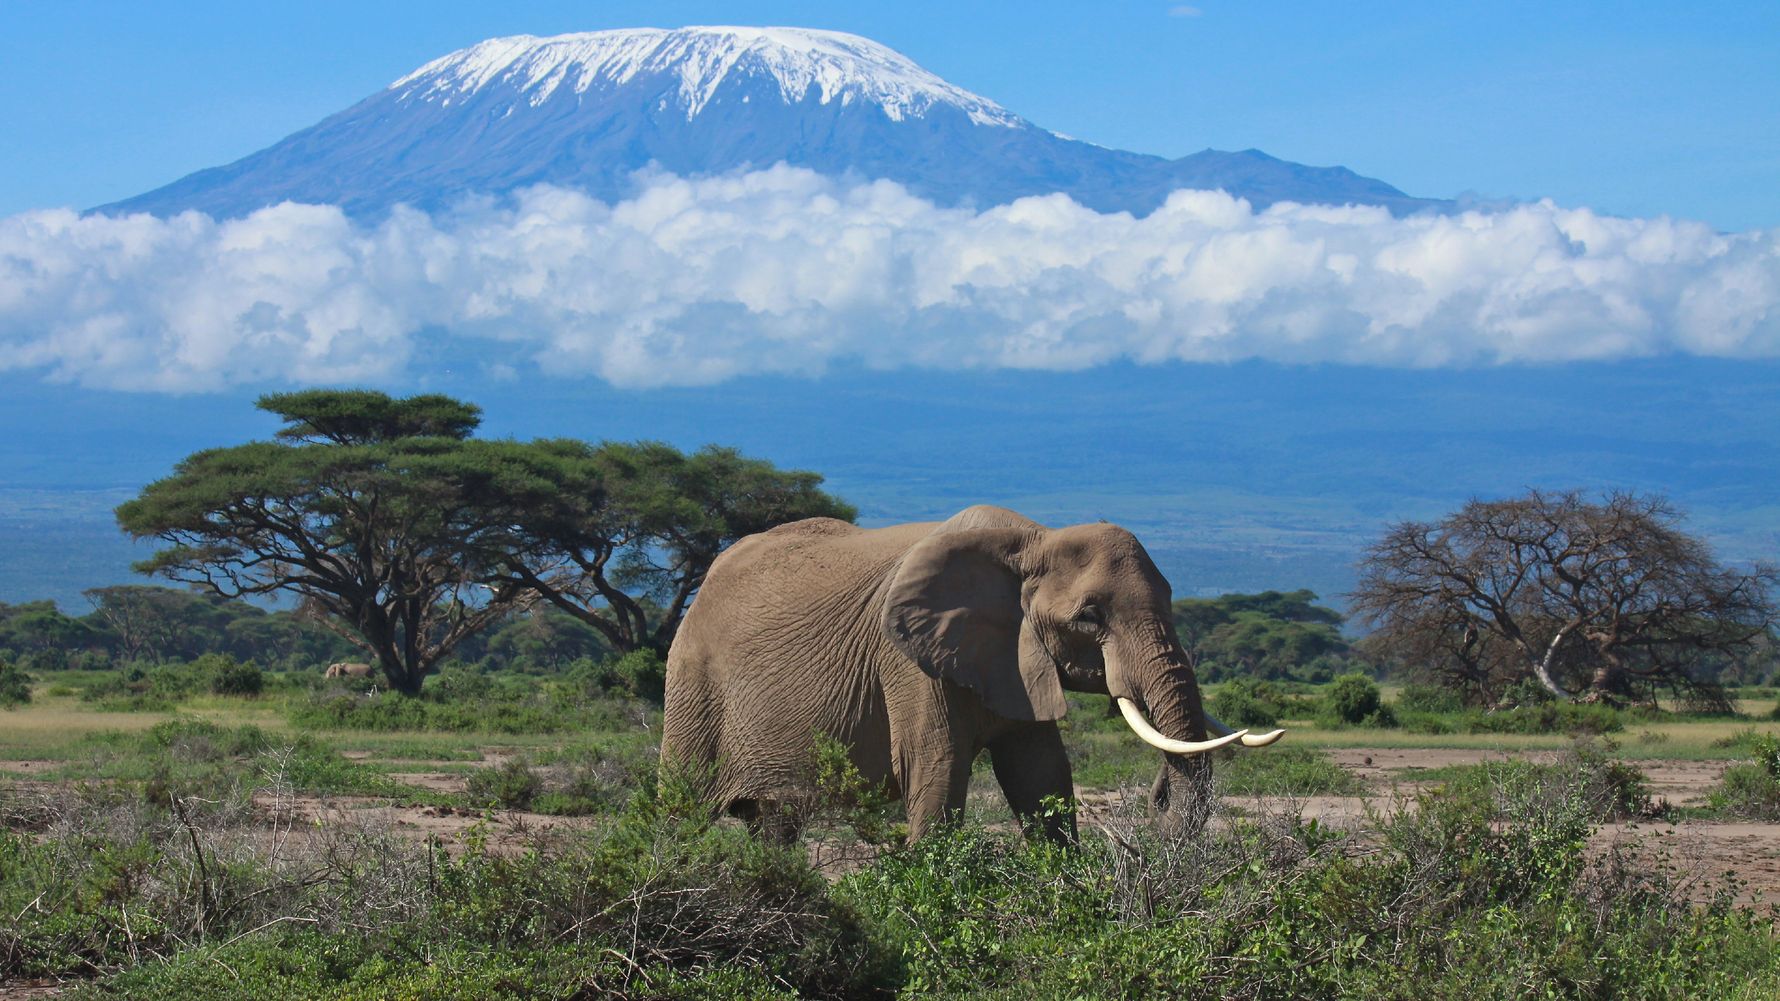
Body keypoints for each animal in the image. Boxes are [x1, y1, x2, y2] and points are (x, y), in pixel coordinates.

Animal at [660, 505, 1283, 842]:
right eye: (1089, 616)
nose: (1156, 797)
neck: (1032, 541)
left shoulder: (1016, 657)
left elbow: (1042, 776)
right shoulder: (906, 661)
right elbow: (937, 771)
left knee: (774, 826)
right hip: (692, 683)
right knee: (681, 811)